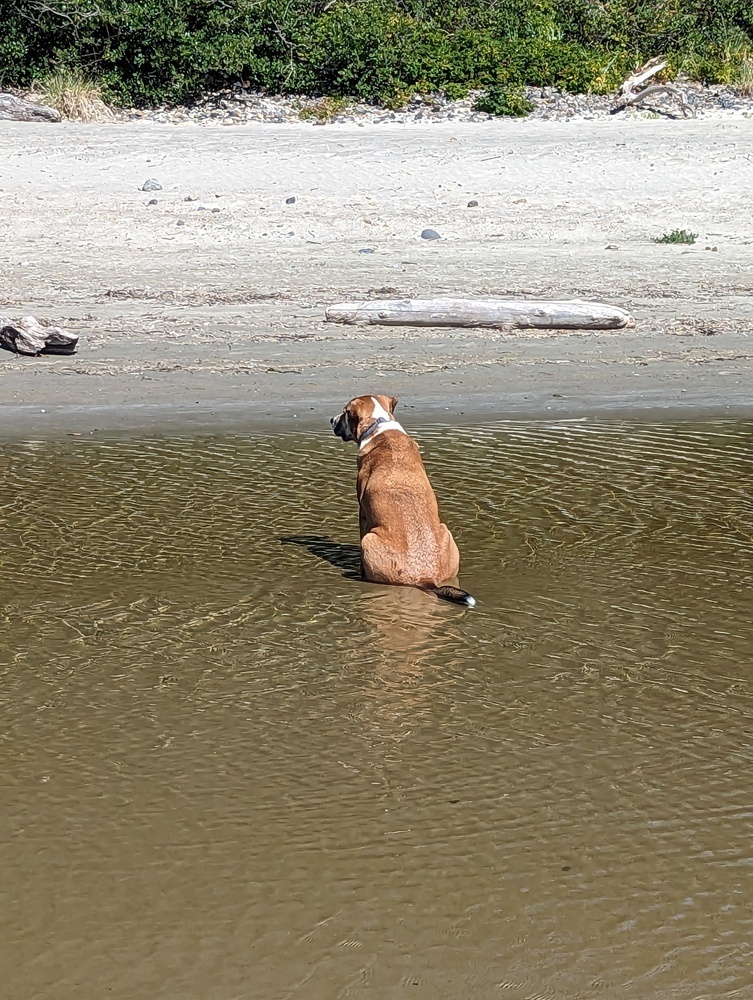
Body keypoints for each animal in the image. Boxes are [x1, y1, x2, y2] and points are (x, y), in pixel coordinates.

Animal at [330, 394, 476, 604]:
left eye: (345, 413)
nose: (331, 420)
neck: (379, 424)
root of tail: (425, 578)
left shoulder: (362, 513)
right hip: (446, 532)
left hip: (368, 540)